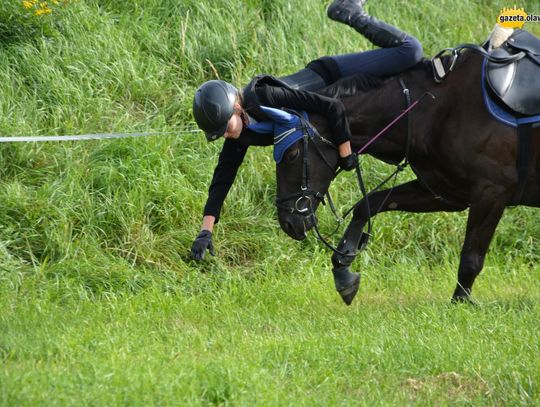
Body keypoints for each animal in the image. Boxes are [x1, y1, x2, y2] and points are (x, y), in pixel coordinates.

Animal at [274, 50, 540, 306]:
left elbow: (471, 258)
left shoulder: (491, 192)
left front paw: (460, 302)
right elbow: (368, 205)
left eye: (292, 154)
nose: (288, 223)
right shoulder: (446, 193)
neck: (434, 108)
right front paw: (343, 269)